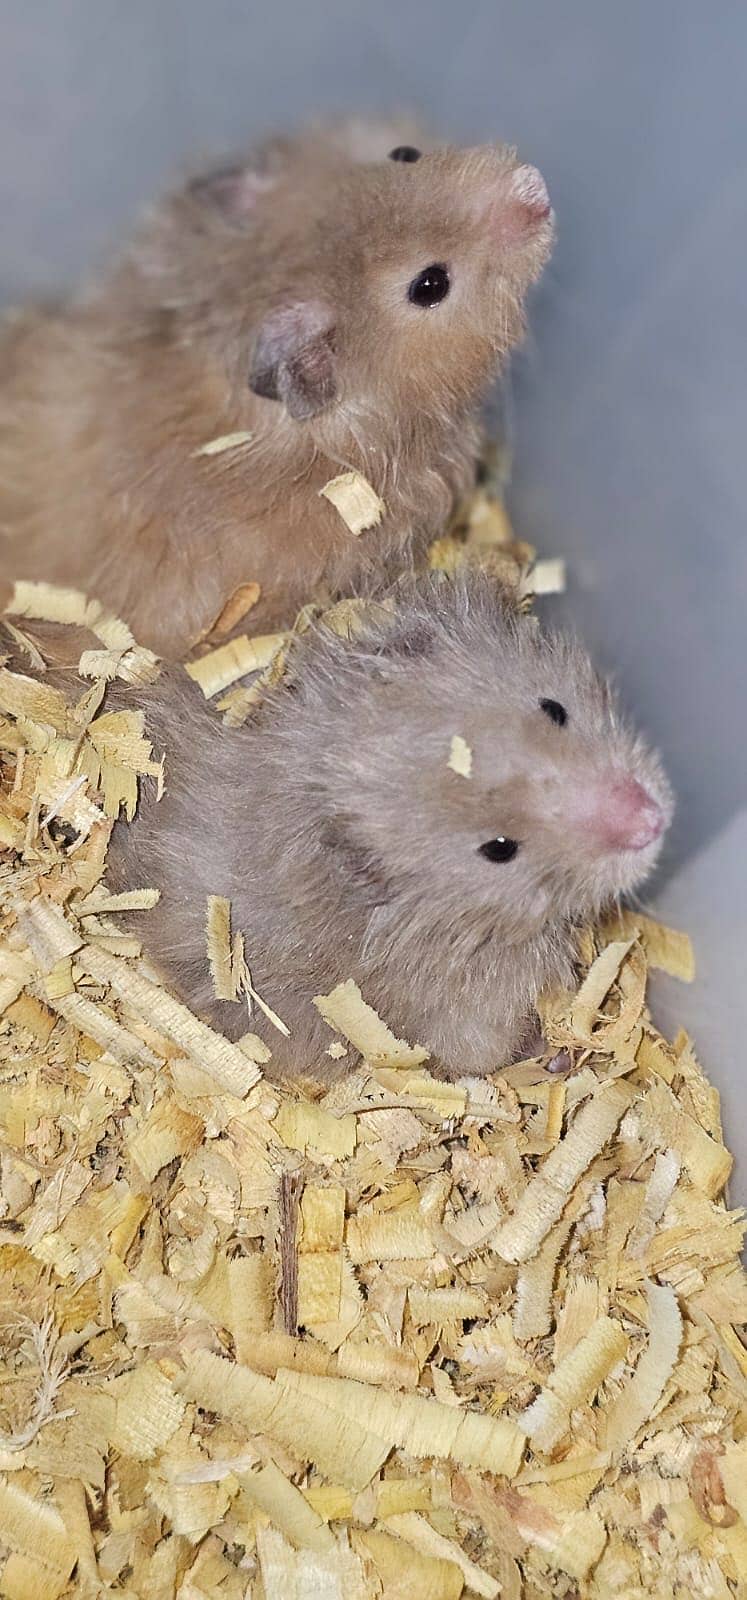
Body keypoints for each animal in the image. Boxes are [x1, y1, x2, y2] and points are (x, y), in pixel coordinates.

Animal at [86, 572, 670, 1079]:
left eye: (554, 708)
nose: (651, 821)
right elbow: (484, 1053)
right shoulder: (468, 1012)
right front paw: (550, 1052)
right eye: (499, 849)